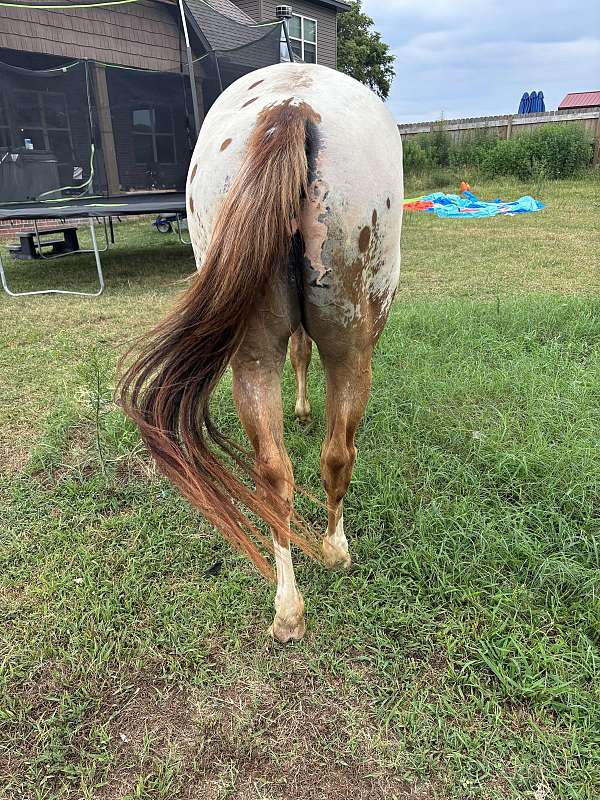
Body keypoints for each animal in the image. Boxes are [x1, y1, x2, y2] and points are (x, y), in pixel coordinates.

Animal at [118, 62, 404, 644]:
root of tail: (289, 108)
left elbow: (297, 356)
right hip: (353, 349)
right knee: (337, 454)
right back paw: (335, 552)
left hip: (251, 357)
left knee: (273, 475)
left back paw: (287, 609)